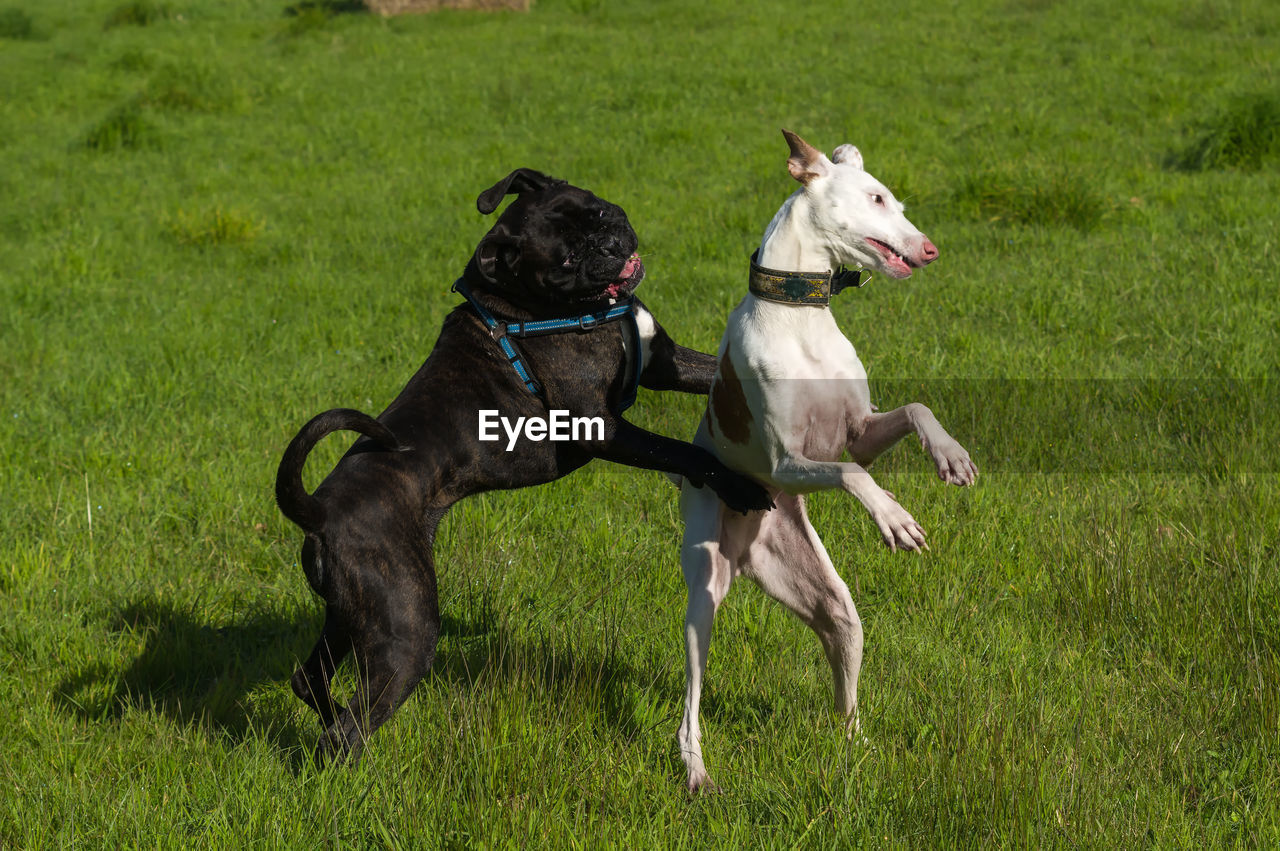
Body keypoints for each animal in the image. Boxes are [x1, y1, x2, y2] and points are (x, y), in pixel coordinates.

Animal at [277, 168, 768, 757]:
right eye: (564, 261)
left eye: (597, 212)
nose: (608, 246)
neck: (547, 310)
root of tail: (317, 510)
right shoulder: (602, 428)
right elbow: (686, 450)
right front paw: (741, 486)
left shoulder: (665, 365)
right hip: (406, 624)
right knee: (347, 730)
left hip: (350, 612)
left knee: (311, 680)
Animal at [675, 127, 972, 788]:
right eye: (877, 198)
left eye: (897, 201)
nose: (932, 249)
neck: (798, 317)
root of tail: (747, 551)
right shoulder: (786, 463)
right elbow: (852, 473)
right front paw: (893, 517)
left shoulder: (859, 430)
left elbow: (914, 410)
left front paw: (949, 454)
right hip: (703, 593)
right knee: (691, 698)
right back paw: (696, 770)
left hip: (832, 604)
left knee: (844, 675)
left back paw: (855, 751)